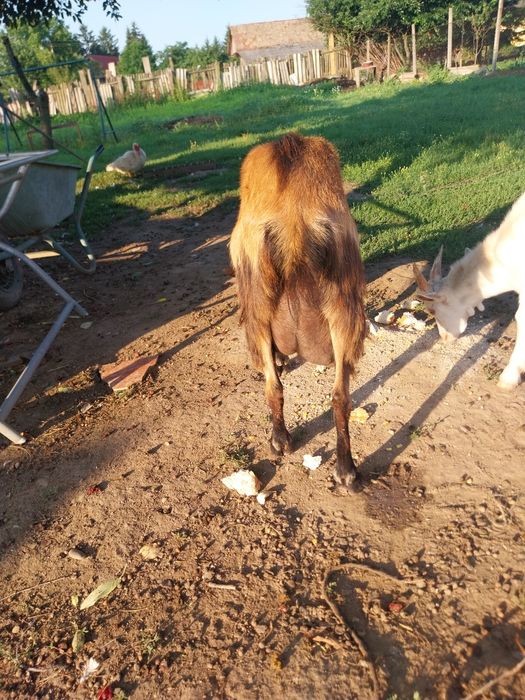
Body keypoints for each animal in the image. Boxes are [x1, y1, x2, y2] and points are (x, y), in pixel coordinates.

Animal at [229, 133, 367, 491]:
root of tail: (294, 218)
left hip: (257, 305)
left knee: (272, 384)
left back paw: (280, 440)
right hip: (343, 308)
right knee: (340, 396)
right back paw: (345, 469)